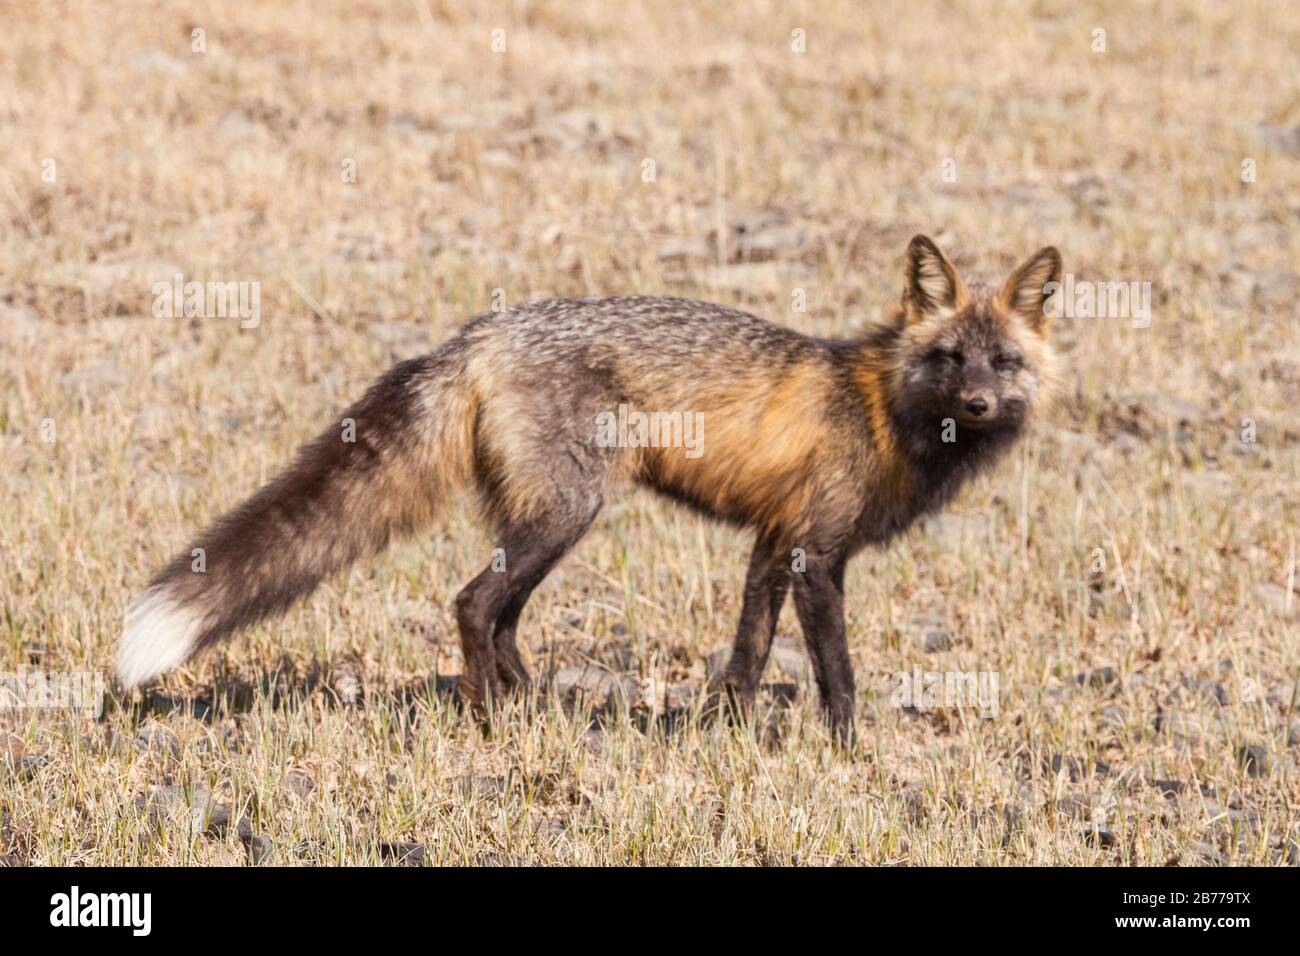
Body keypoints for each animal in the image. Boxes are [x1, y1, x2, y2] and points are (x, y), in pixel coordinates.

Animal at [117, 235, 1061, 744]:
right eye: (949, 357)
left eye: (1003, 361)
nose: (980, 404)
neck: (878, 406)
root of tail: (481, 330)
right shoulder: (817, 556)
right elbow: (838, 674)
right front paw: (845, 752)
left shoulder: (770, 541)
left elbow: (748, 653)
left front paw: (726, 732)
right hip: (567, 514)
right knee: (473, 603)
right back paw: (490, 723)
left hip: (545, 518)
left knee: (501, 616)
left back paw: (531, 708)